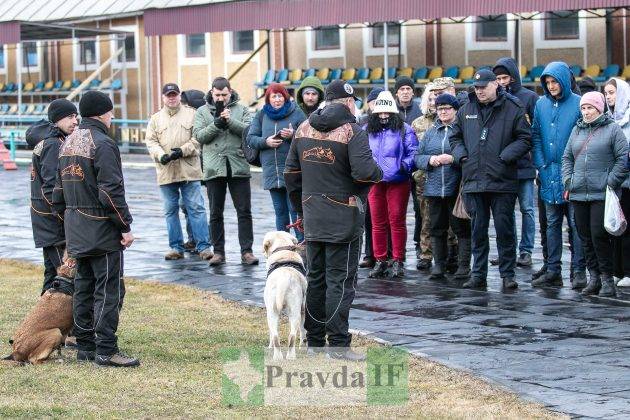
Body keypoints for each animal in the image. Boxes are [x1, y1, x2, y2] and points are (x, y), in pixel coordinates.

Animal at [264, 231, 308, 360]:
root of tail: (284, 278)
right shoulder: (303, 309)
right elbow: (303, 330)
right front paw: (303, 344)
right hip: (294, 312)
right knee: (291, 336)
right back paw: (289, 356)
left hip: (271, 313)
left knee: (275, 336)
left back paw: (279, 356)